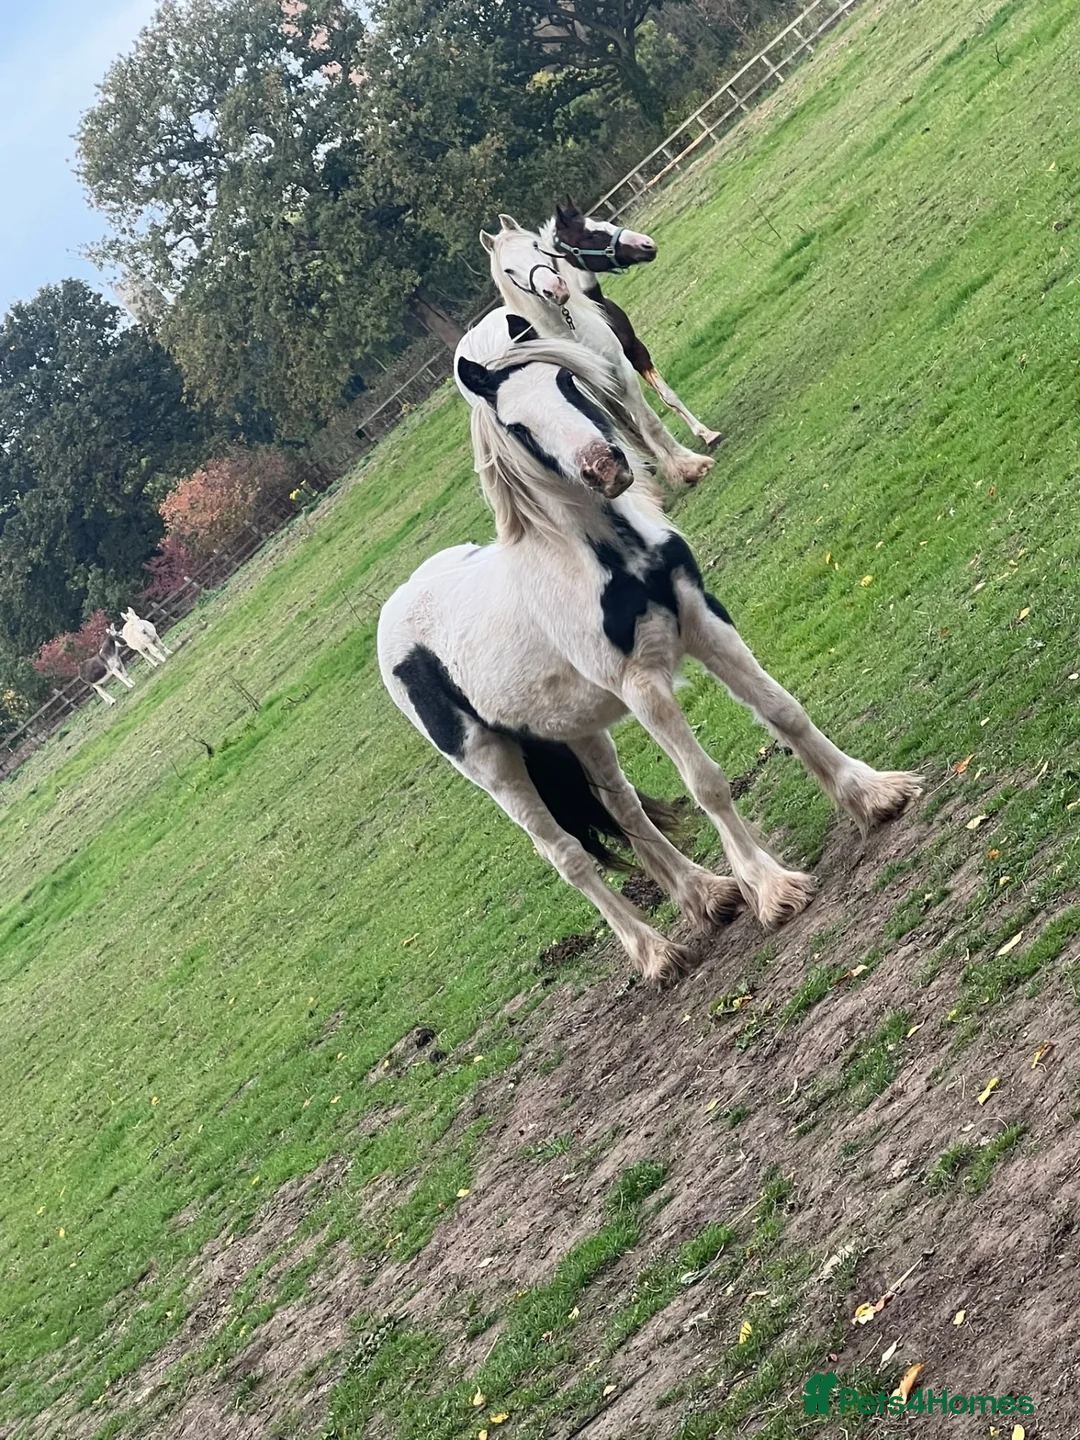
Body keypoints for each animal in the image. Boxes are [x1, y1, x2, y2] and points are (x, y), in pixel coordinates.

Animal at [377, 334, 921, 985]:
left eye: (565, 381)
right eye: (517, 426)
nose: (604, 465)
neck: (608, 559)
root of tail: (396, 611)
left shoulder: (705, 623)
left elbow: (784, 712)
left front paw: (872, 795)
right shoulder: (641, 686)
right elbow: (706, 782)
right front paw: (771, 889)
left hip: (579, 730)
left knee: (625, 809)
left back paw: (708, 896)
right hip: (493, 764)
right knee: (567, 856)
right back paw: (656, 953)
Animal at [479, 214, 714, 490]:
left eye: (535, 246)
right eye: (508, 271)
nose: (555, 288)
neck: (574, 328)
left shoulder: (628, 359)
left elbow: (653, 414)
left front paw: (693, 458)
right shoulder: (590, 387)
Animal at [544, 200, 723, 448]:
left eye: (603, 221)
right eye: (591, 235)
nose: (647, 245)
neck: (595, 314)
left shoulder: (635, 350)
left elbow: (667, 396)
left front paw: (707, 433)